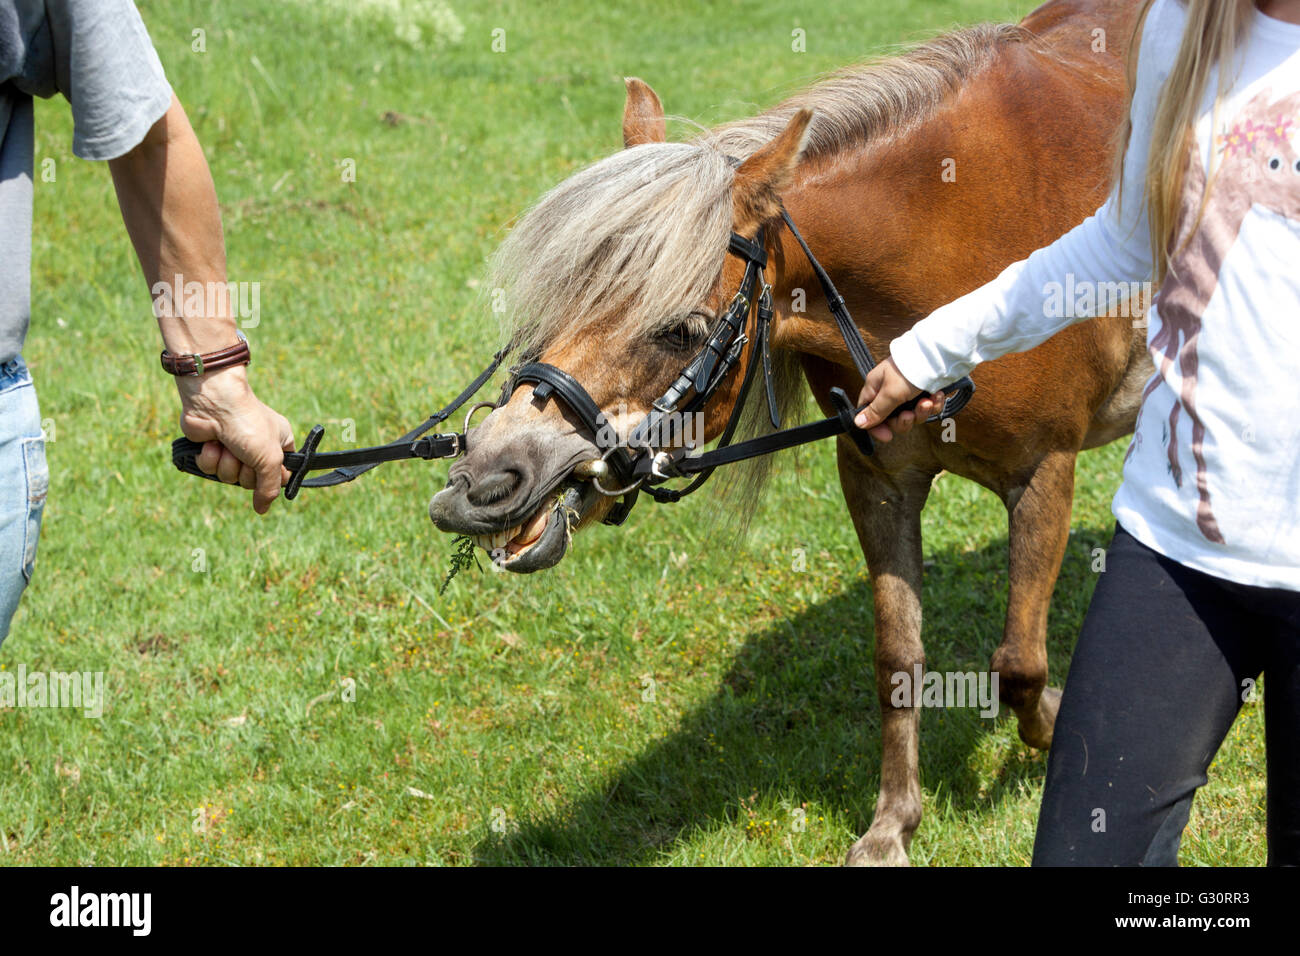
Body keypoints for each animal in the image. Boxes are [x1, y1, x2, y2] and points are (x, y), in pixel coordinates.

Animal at [434, 0, 1149, 868]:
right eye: (561, 293)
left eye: (679, 330)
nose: (483, 481)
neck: (962, 239)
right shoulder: (877, 477)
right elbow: (897, 655)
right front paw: (892, 824)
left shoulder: (1044, 471)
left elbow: (1017, 663)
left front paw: (1051, 723)